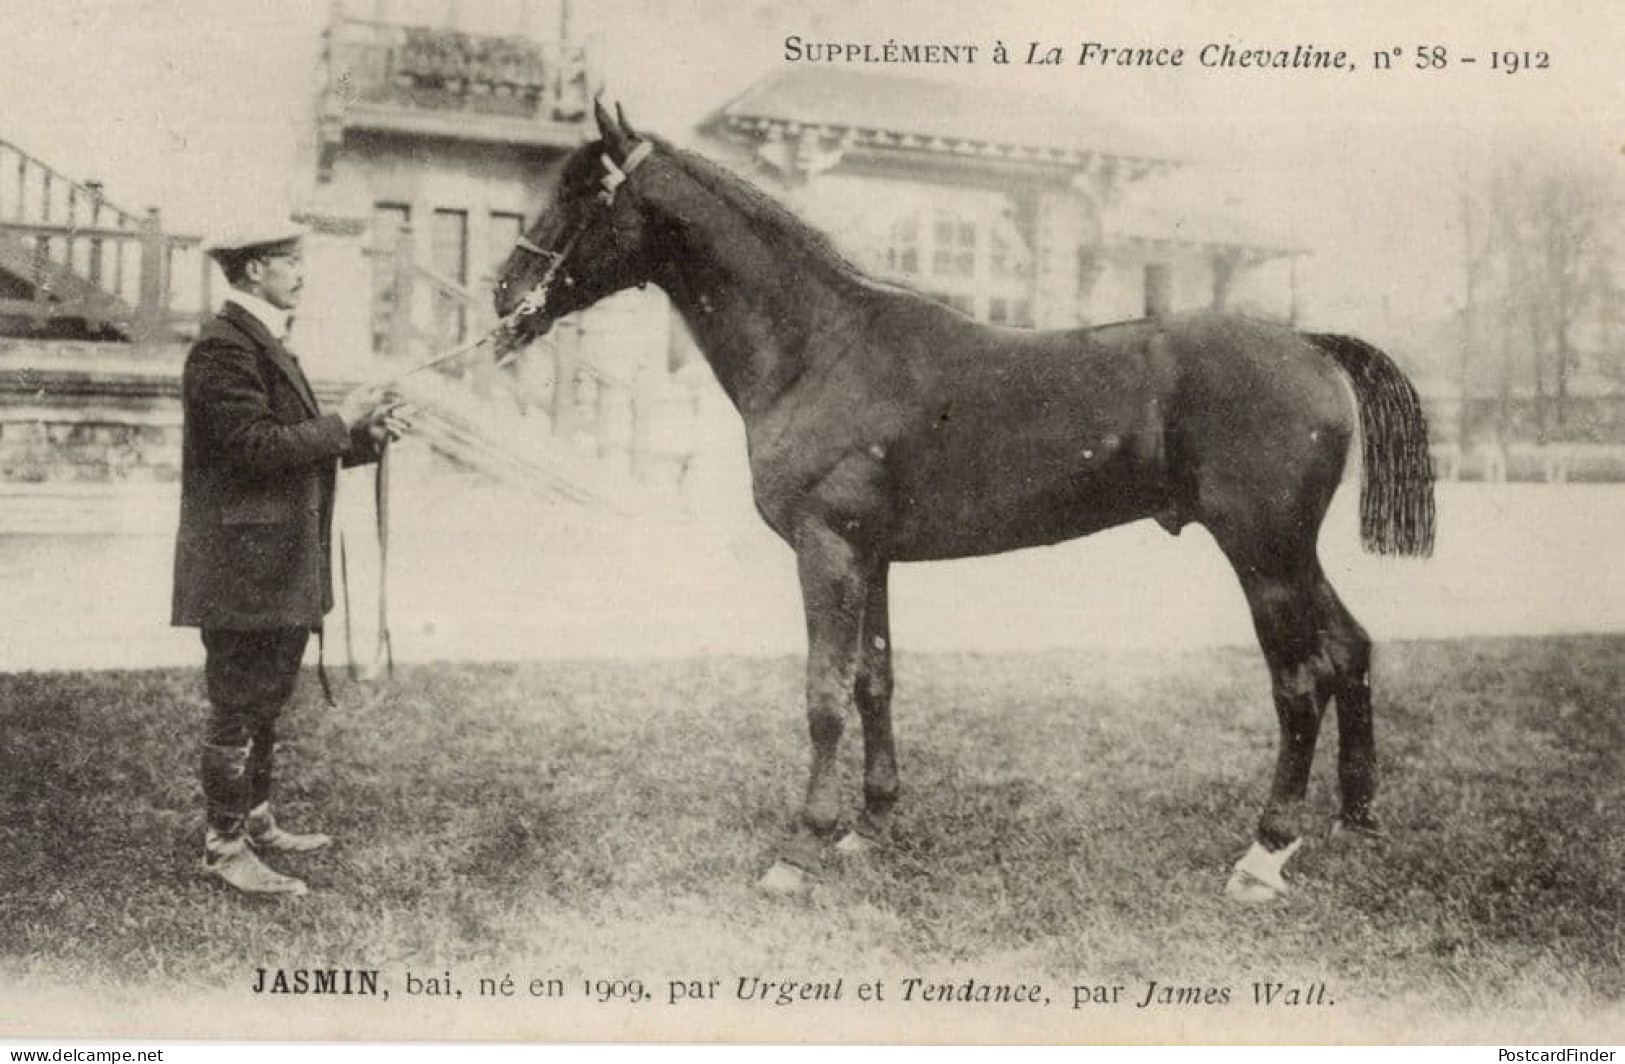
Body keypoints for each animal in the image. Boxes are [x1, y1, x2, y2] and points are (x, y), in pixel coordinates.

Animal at [494, 103, 1436, 903]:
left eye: (580, 191)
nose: (505, 297)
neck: (821, 349)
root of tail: (1308, 344)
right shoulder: (868, 556)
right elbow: (873, 680)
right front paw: (867, 826)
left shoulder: (826, 549)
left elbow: (823, 695)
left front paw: (800, 849)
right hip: (1292, 553)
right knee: (1349, 649)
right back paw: (1354, 820)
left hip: (1261, 552)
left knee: (1299, 682)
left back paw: (1263, 854)